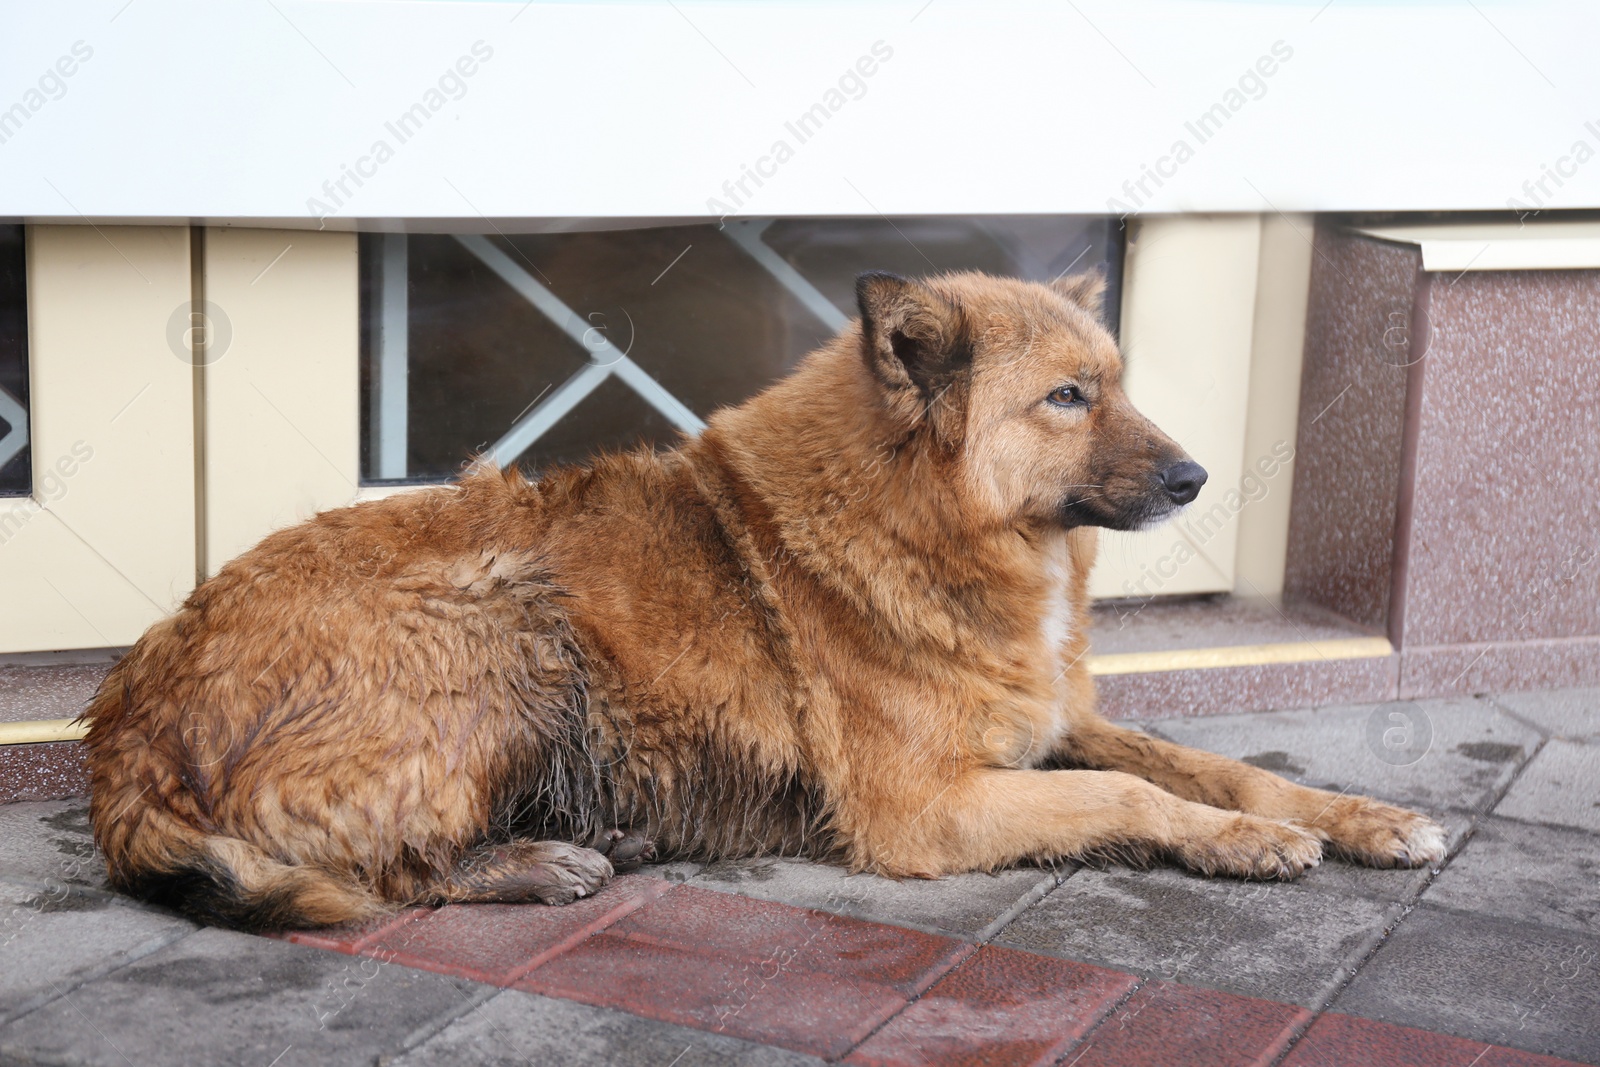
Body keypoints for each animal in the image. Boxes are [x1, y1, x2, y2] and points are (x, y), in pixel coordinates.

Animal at [81, 271, 1446, 927]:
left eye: (1115, 383)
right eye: (1067, 398)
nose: (1197, 477)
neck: (918, 518)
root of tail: (130, 706)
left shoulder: (1056, 724)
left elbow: (1211, 761)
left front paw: (1361, 814)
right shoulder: (926, 807)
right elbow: (1133, 793)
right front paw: (1240, 842)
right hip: (507, 619)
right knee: (382, 870)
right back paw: (537, 861)